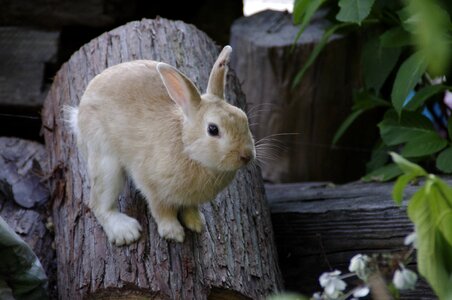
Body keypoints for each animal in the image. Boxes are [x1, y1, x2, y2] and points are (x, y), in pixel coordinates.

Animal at [65, 45, 256, 245]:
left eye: (243, 117)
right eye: (213, 129)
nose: (247, 155)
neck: (186, 146)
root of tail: (78, 117)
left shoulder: (190, 199)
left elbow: (190, 208)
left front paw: (196, 223)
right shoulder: (154, 188)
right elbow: (162, 212)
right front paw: (174, 233)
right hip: (105, 162)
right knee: (99, 204)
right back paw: (125, 231)